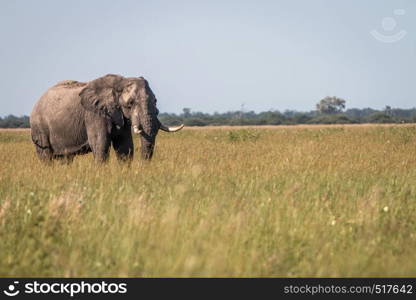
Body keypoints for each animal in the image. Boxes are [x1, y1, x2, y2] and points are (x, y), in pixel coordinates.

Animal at [30, 74, 183, 163]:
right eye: (130, 103)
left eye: (155, 100)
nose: (143, 166)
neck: (120, 82)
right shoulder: (94, 114)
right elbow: (100, 144)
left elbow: (124, 146)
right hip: (39, 128)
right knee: (46, 156)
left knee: (65, 159)